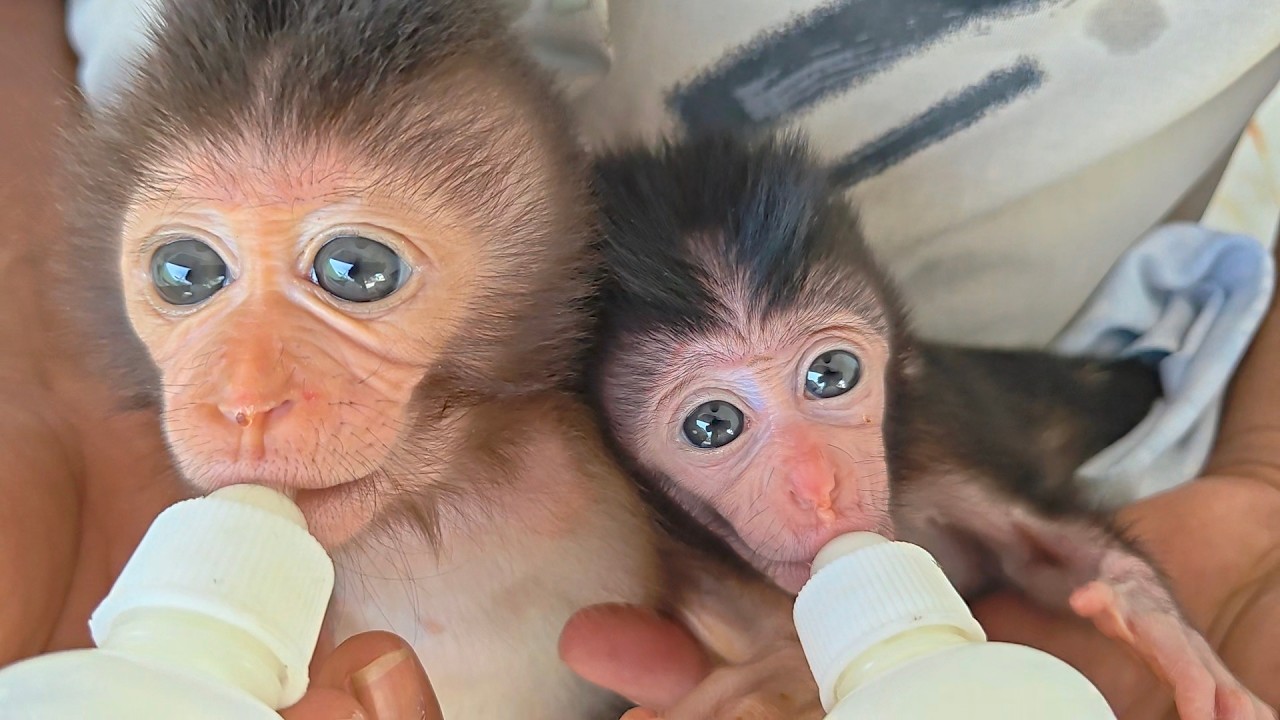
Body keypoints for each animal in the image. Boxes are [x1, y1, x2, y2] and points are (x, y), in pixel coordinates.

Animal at [586, 132, 1277, 719]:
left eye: (830, 374)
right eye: (712, 424)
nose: (817, 486)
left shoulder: (937, 444)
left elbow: (1047, 558)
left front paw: (1165, 634)